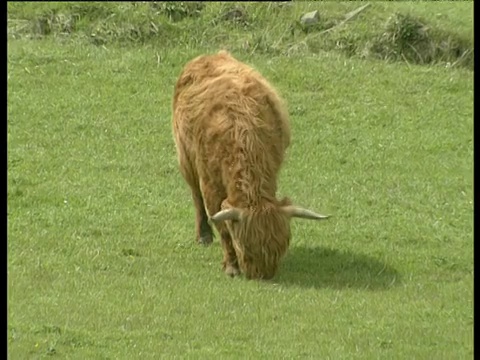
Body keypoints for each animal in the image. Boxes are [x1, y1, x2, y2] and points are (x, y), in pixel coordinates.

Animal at [171, 50, 328, 280]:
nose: (262, 275)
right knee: (196, 197)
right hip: (185, 158)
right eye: (246, 248)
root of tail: (209, 55)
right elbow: (221, 225)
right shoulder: (210, 183)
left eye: (282, 247)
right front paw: (231, 266)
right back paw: (203, 236)